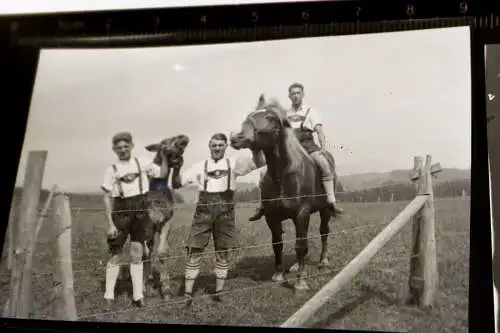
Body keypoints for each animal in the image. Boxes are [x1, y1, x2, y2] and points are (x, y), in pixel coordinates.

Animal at [142, 134, 190, 300]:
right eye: (164, 142)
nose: (183, 138)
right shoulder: (146, 226)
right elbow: (145, 255)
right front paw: (143, 289)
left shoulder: (166, 223)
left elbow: (163, 253)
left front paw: (166, 290)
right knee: (146, 253)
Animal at [229, 94, 338, 290]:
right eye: (251, 115)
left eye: (271, 119)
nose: (236, 138)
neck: (283, 174)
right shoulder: (272, 216)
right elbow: (278, 244)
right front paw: (279, 274)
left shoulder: (302, 213)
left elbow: (301, 245)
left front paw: (301, 282)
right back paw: (295, 265)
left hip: (325, 210)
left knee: (324, 232)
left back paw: (323, 261)